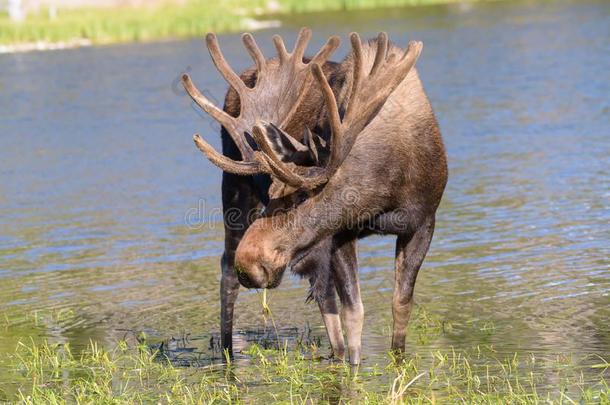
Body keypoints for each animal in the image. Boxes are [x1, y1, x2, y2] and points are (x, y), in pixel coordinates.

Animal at [182, 27, 446, 362]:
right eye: (271, 189)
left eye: (299, 196)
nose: (250, 264)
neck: (386, 186)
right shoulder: (340, 233)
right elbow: (354, 313)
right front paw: (355, 367)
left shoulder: (423, 223)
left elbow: (400, 308)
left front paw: (396, 364)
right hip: (235, 193)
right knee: (227, 274)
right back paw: (227, 355)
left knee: (322, 294)